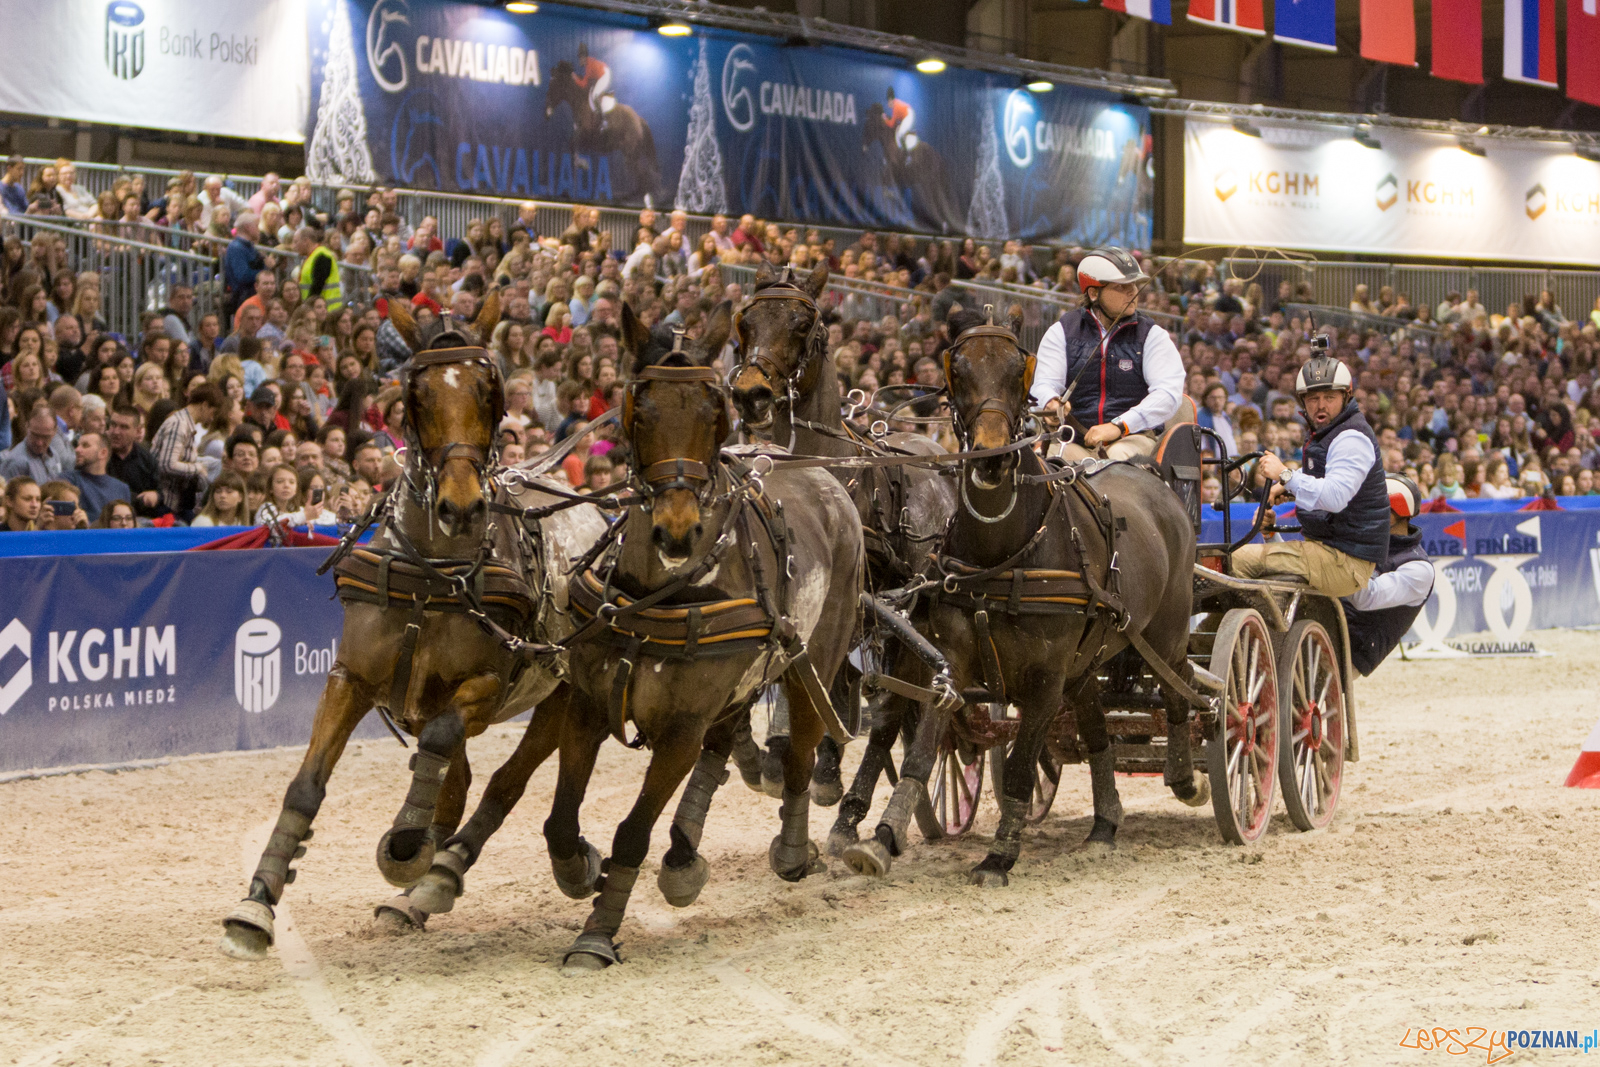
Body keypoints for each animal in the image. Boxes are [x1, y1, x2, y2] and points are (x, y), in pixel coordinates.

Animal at [219, 299, 604, 959]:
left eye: (490, 388)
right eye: (415, 393)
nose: (460, 505)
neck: (433, 572)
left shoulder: (484, 687)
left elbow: (446, 749)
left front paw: (406, 845)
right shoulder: (351, 679)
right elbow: (306, 786)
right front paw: (258, 903)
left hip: (560, 692)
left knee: (502, 783)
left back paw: (460, 872)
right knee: (463, 779)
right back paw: (414, 896)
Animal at [544, 59, 656, 202]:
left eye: (553, 84)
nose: (547, 112)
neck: (581, 102)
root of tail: (639, 120)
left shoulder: (587, 137)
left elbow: (573, 145)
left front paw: (582, 164)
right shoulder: (581, 137)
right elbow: (572, 146)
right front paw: (580, 165)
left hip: (631, 154)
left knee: (643, 181)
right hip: (631, 155)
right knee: (643, 181)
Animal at [544, 300, 864, 979]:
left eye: (713, 412)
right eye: (639, 408)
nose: (677, 530)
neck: (660, 591)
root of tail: (826, 477)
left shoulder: (680, 732)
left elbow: (631, 832)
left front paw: (597, 935)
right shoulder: (587, 706)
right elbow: (560, 818)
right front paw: (579, 867)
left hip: (812, 662)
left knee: (801, 755)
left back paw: (791, 849)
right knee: (731, 740)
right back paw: (683, 856)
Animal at [857, 307, 1203, 883]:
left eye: (1019, 369)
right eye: (958, 369)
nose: (992, 457)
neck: (1006, 550)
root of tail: (1157, 484)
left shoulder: (1044, 678)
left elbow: (1021, 767)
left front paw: (999, 856)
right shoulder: (950, 659)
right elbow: (922, 753)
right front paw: (881, 839)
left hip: (1168, 634)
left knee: (1183, 692)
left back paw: (1186, 777)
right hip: (1088, 659)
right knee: (1097, 729)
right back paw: (1105, 824)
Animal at [870, 103, 953, 235]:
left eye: (869, 125)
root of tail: (939, 158)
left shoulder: (895, 171)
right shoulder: (900, 177)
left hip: (930, 183)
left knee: (936, 205)